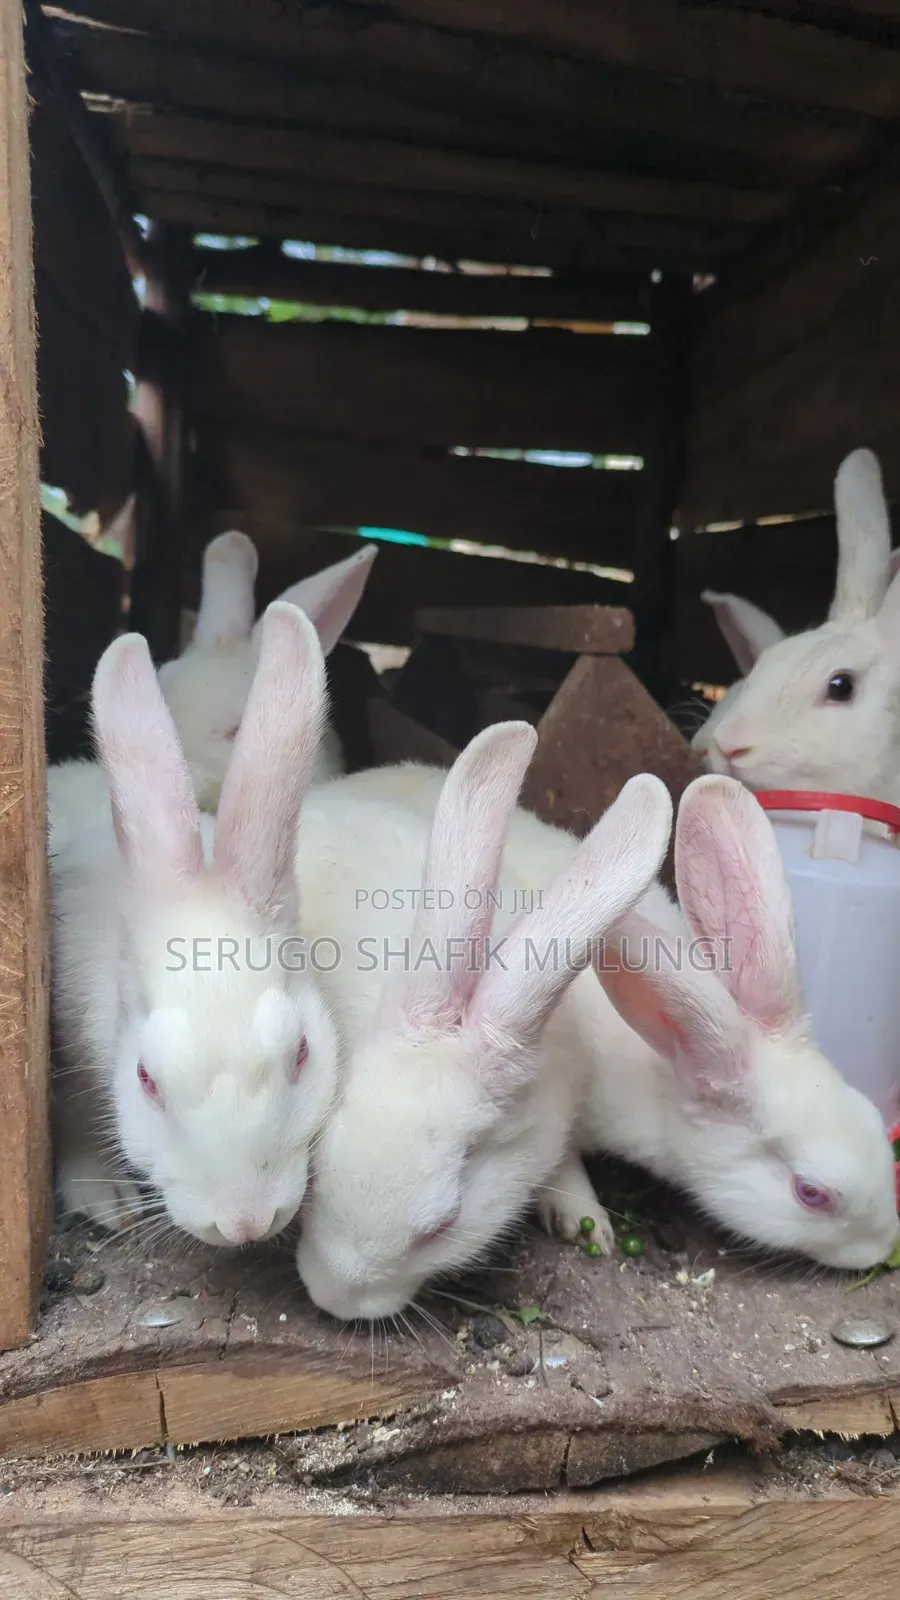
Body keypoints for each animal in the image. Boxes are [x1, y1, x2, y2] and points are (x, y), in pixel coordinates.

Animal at [313, 761, 900, 1278]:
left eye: (874, 1117)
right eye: (812, 1193)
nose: (884, 1244)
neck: (663, 1061)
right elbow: (558, 1162)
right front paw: (586, 1220)